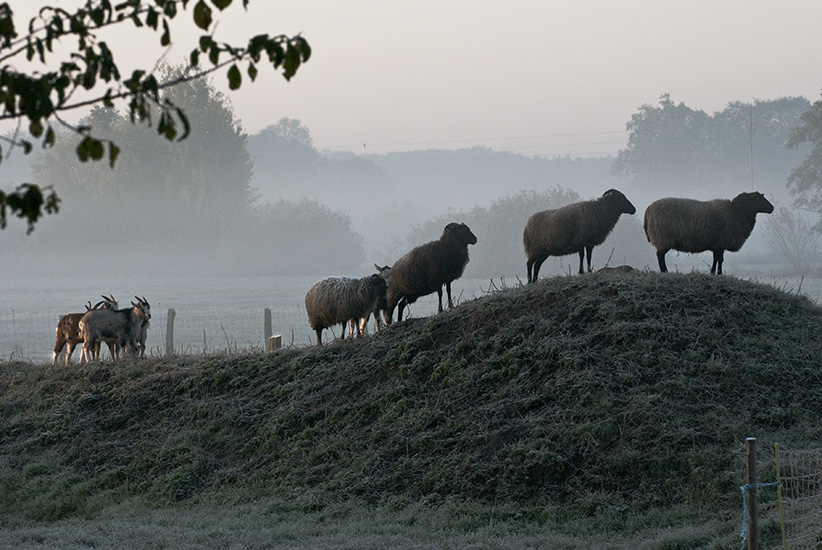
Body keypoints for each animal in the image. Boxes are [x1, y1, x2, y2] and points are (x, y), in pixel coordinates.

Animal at [643, 191, 775, 275]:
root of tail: (648, 210)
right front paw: (717, 273)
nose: (772, 208)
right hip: (663, 237)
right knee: (660, 256)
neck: (736, 212)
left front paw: (715, 273)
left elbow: (717, 259)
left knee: (660, 255)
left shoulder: (718, 244)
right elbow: (719, 259)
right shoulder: (721, 242)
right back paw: (664, 271)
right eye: (758, 199)